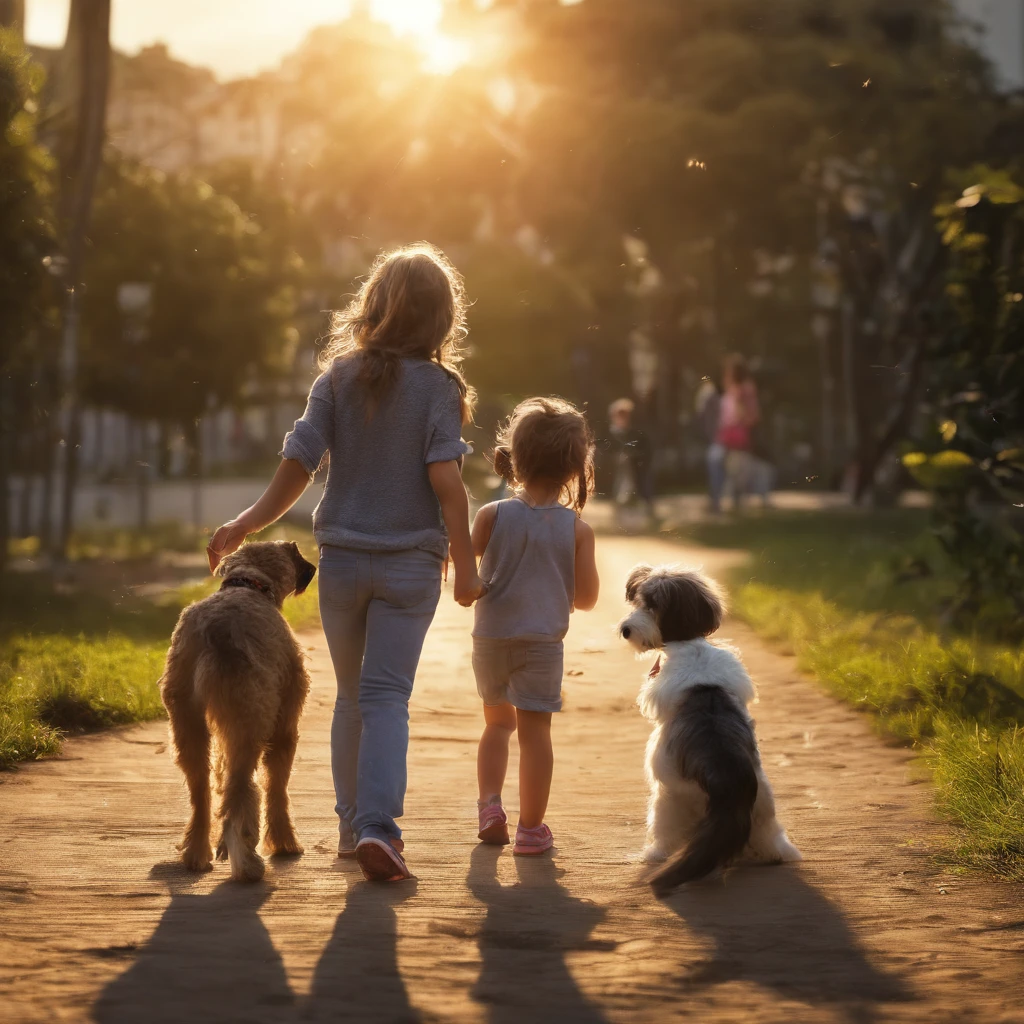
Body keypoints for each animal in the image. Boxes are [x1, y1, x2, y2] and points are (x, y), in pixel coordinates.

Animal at [155, 540, 313, 884]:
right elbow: (276, 788)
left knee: (201, 792)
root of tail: (215, 633)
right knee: (240, 790)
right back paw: (247, 863)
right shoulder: (285, 727)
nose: (313, 567)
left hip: (187, 722)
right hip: (248, 721)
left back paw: (196, 854)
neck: (250, 584)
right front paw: (284, 843)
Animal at [614, 565, 798, 892]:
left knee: (665, 831)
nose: (626, 629)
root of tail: (728, 779)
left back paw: (655, 854)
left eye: (650, 606)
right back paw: (774, 852)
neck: (690, 645)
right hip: (763, 805)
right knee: (770, 834)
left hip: (670, 798)